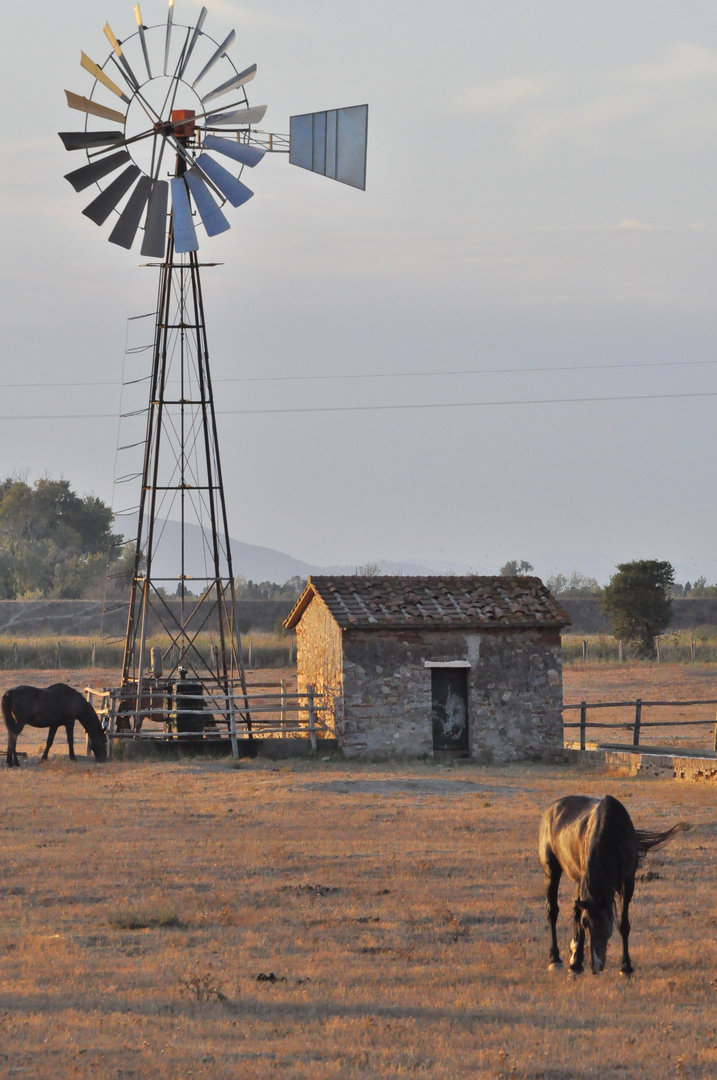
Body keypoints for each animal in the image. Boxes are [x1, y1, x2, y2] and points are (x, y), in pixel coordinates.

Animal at [537, 794, 682, 980]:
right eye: (587, 924)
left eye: (604, 924)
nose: (595, 966)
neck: (612, 835)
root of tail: (551, 809)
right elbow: (578, 918)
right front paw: (576, 966)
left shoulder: (628, 882)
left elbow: (623, 924)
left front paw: (625, 967)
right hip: (551, 869)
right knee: (552, 911)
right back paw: (555, 959)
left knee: (574, 908)